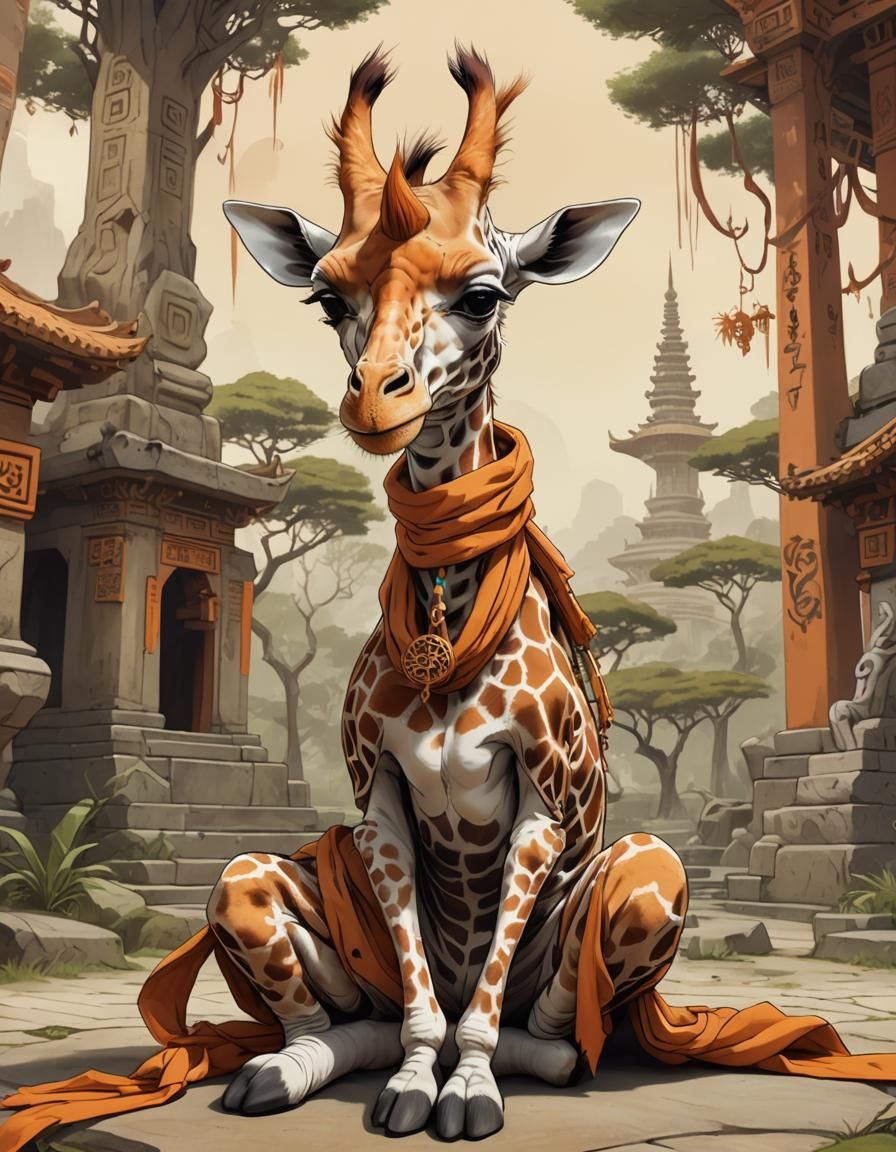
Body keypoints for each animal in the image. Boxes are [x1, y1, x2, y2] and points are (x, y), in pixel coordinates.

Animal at [210, 46, 689, 1140]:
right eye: (326, 296)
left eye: (483, 294)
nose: (374, 403)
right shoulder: (379, 801)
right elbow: (422, 1008)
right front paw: (409, 1087)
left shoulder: (542, 810)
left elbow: (479, 1011)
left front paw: (464, 1093)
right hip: (258, 886)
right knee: (346, 1005)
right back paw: (283, 1069)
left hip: (644, 873)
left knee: (551, 1022)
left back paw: (532, 1064)